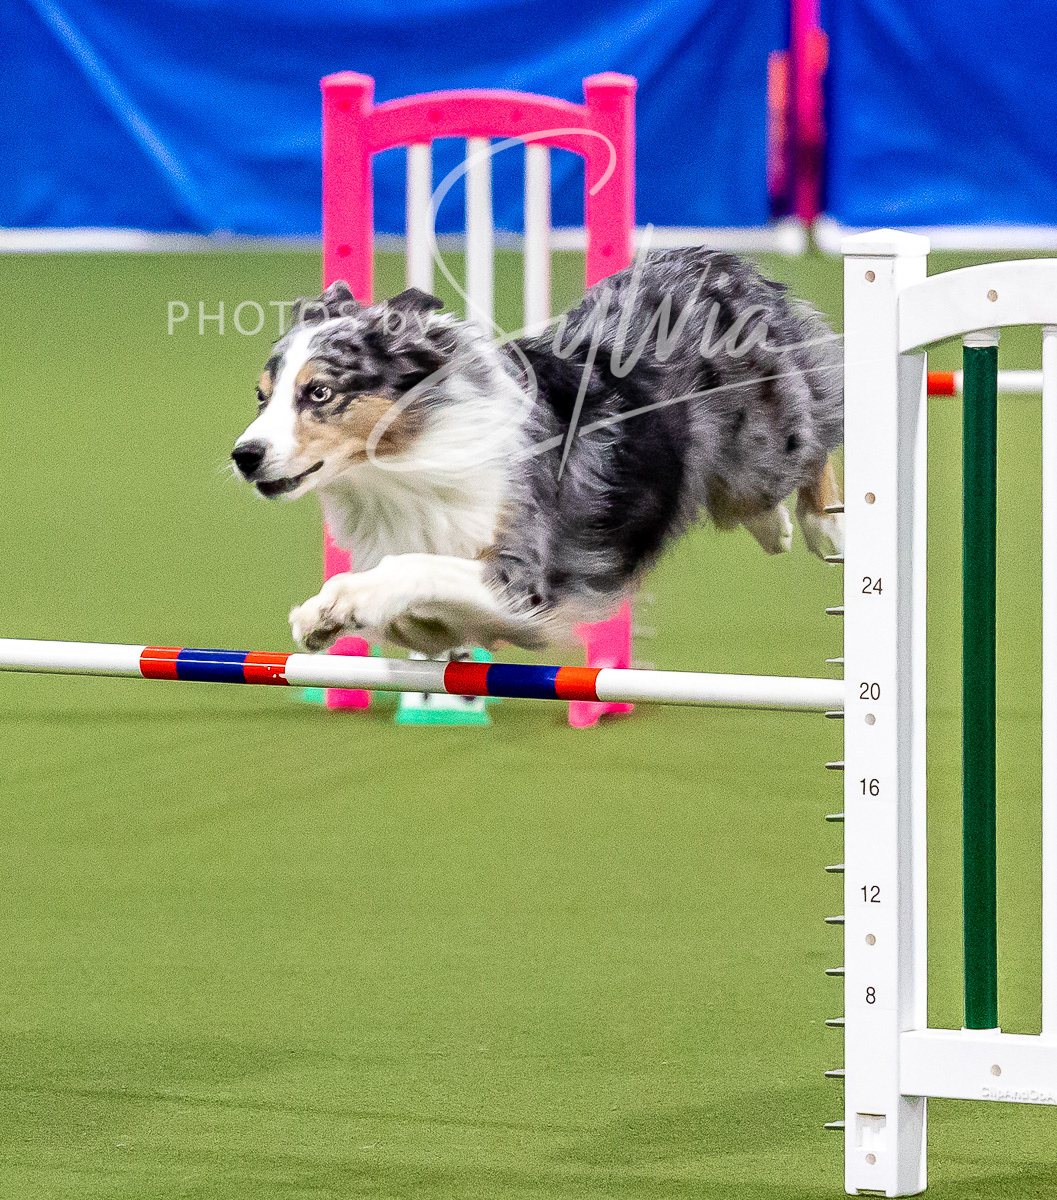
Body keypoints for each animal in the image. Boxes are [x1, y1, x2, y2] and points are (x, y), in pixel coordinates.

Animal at [231, 247, 843, 656]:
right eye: (262, 397)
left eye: (319, 393)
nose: (245, 455)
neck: (404, 465)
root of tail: (716, 258)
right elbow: (414, 614)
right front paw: (325, 614)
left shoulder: (526, 576)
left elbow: (415, 565)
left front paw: (342, 600)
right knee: (750, 499)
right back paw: (774, 526)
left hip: (768, 444)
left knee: (819, 432)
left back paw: (824, 526)